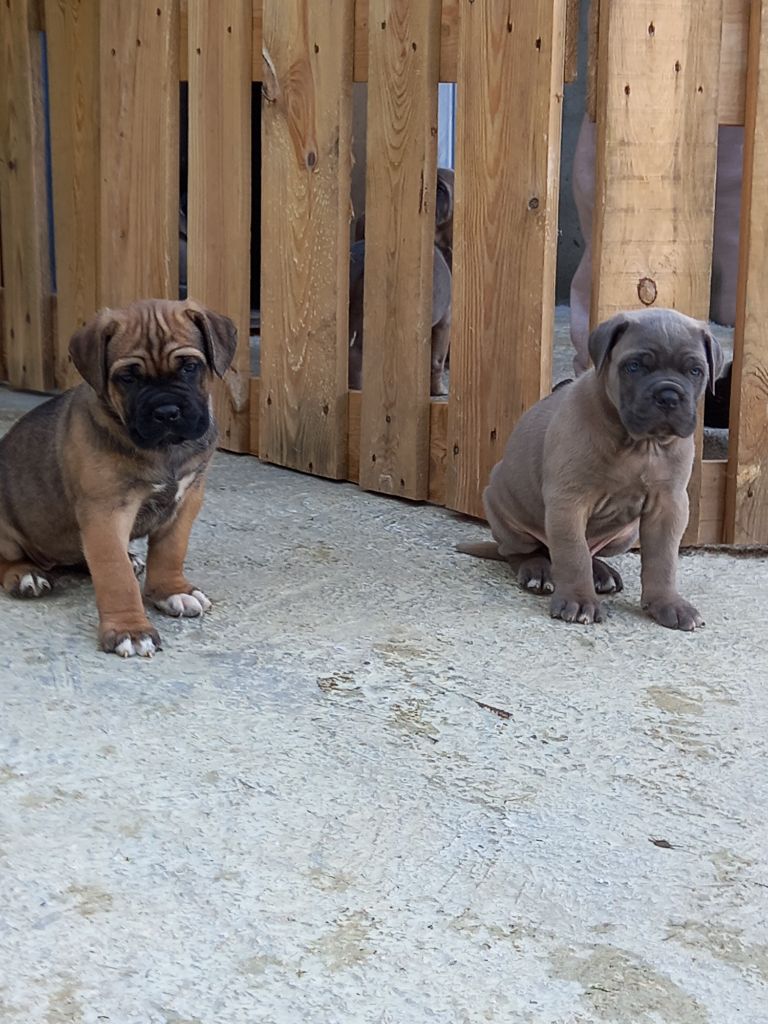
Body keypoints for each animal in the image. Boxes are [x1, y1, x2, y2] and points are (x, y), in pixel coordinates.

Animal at [460, 303, 724, 626]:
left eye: (695, 371)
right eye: (634, 366)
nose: (668, 396)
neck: (638, 444)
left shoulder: (669, 505)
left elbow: (662, 560)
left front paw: (668, 604)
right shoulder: (569, 502)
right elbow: (573, 555)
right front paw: (578, 601)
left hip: (625, 535)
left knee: (591, 551)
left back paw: (601, 572)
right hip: (502, 507)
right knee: (522, 551)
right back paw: (537, 570)